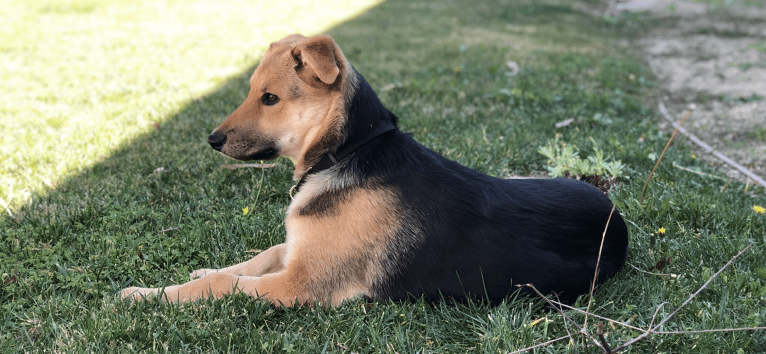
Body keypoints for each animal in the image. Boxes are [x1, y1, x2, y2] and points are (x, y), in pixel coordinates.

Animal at [121, 33, 632, 306]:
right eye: (251, 91)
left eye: (270, 98)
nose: (212, 140)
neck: (346, 153)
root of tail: (618, 221)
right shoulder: (298, 253)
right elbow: (258, 256)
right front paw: (198, 271)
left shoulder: (298, 285)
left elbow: (227, 283)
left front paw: (147, 295)